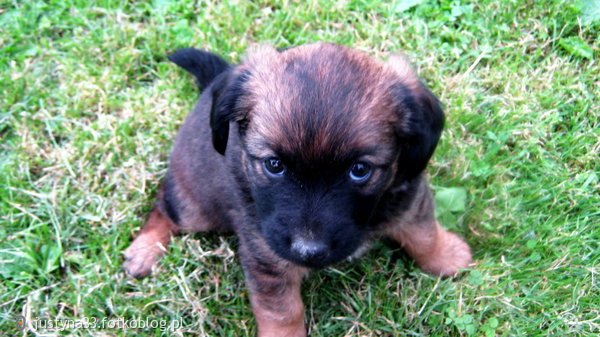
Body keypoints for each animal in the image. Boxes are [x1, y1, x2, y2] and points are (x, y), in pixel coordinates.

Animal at [124, 43, 474, 334]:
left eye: (360, 170)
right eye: (274, 164)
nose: (309, 251)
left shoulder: (407, 196)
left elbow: (423, 234)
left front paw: (447, 256)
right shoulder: (267, 257)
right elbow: (282, 313)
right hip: (195, 209)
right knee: (164, 205)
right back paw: (145, 250)